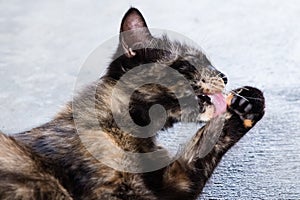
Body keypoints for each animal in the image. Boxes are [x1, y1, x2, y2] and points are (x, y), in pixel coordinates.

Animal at [1, 7, 266, 199]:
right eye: (189, 63)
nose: (224, 76)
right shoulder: (116, 191)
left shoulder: (173, 182)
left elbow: (203, 146)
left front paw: (248, 102)